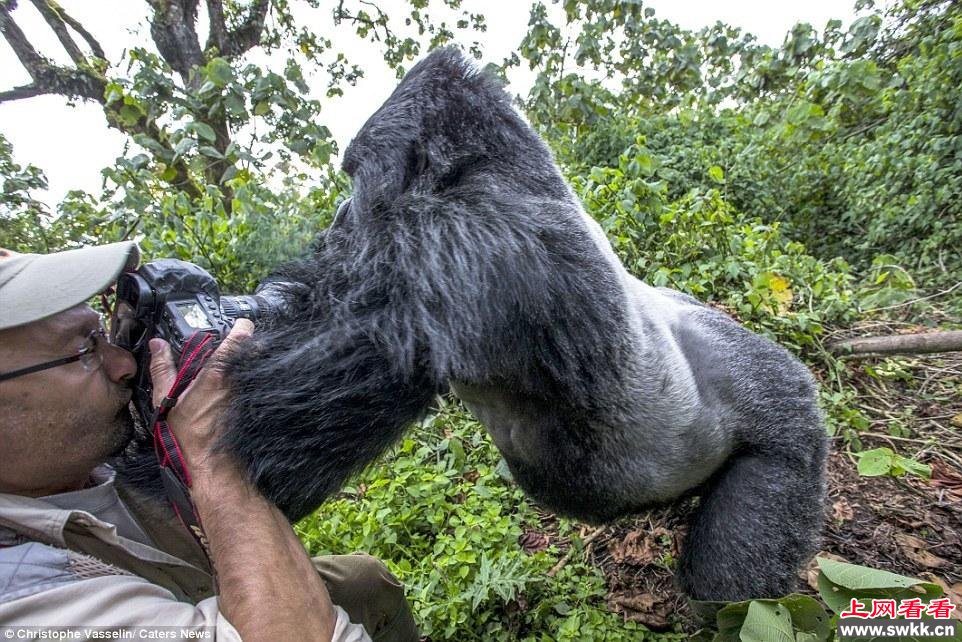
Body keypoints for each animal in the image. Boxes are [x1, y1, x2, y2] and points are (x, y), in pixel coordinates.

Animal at [122, 46, 824, 600]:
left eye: (354, 176)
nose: (337, 222)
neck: (491, 172)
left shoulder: (472, 246)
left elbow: (267, 441)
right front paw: (181, 293)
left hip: (777, 410)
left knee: (745, 542)